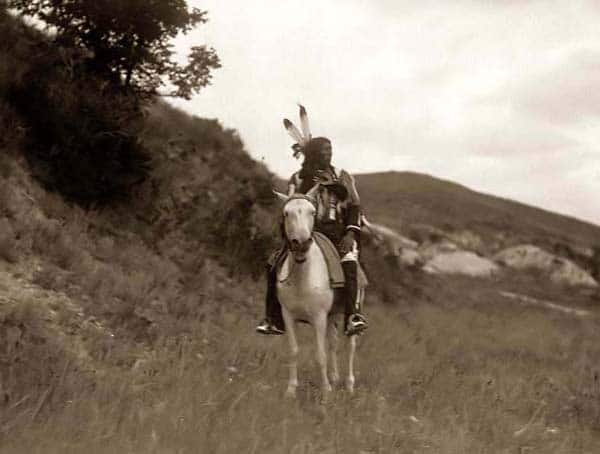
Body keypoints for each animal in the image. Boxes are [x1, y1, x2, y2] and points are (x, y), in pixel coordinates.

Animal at [274, 185, 360, 398]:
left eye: (312, 212)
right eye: (286, 213)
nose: (302, 243)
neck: (302, 277)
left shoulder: (319, 317)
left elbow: (320, 355)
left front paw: (325, 392)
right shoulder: (288, 316)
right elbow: (294, 351)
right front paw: (291, 391)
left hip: (347, 313)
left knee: (350, 345)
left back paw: (349, 385)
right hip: (332, 316)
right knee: (333, 343)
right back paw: (335, 378)